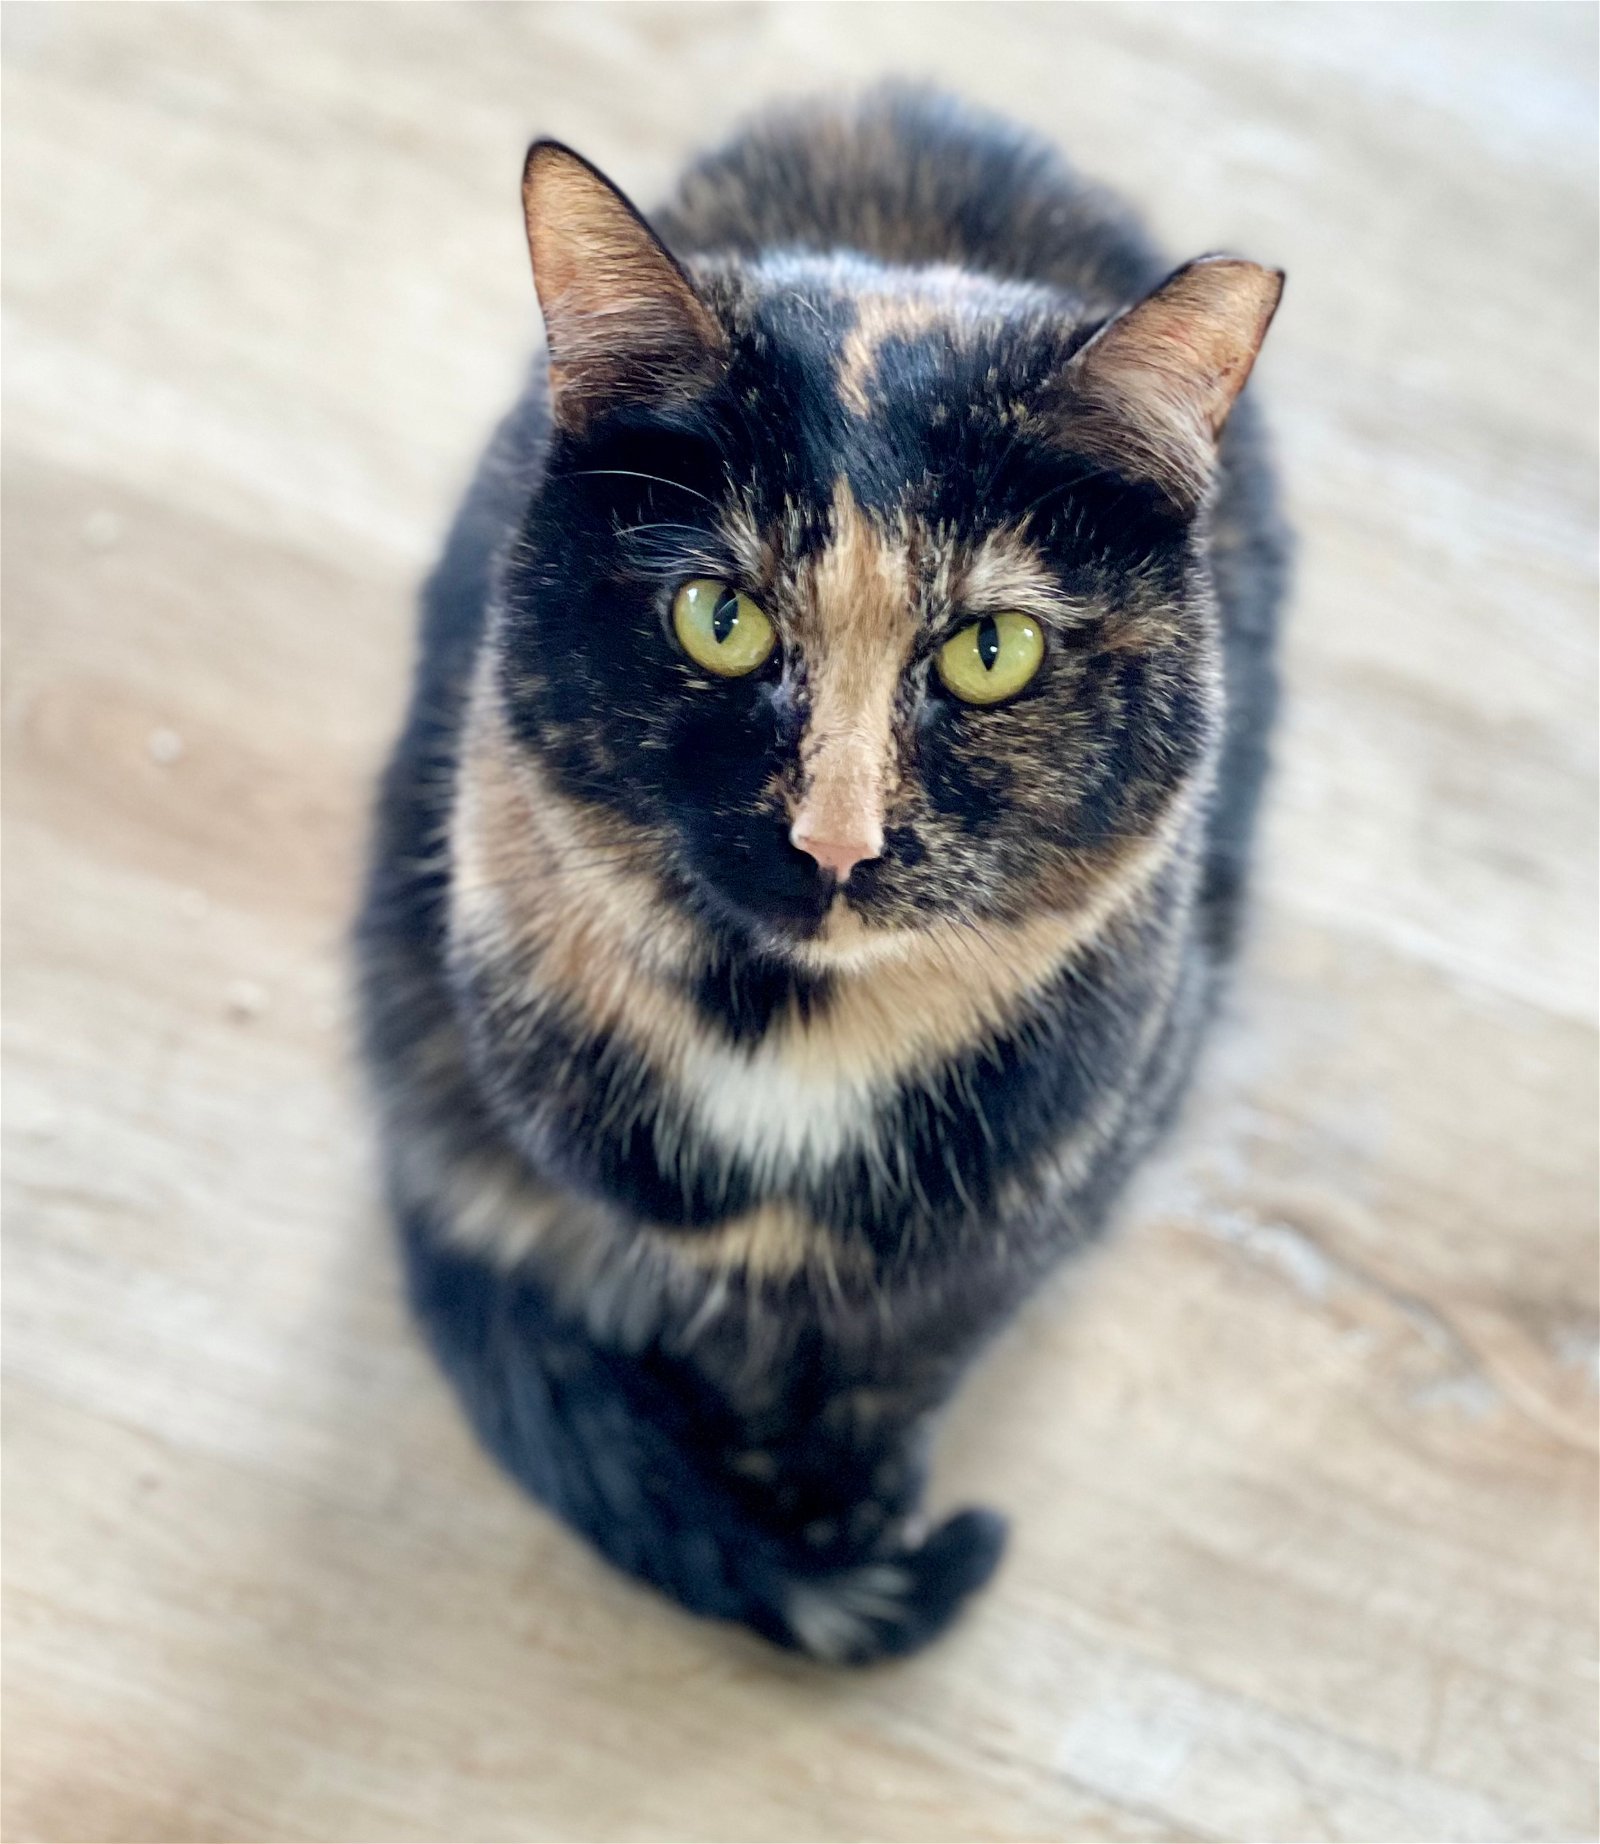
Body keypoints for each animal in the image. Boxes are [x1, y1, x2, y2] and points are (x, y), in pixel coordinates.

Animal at [359, 86, 1290, 1666]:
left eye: (990, 650)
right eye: (719, 617)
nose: (835, 840)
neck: (787, 1041)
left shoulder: (1040, 1179)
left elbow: (903, 1347)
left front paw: (845, 1505)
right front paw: (783, 1514)